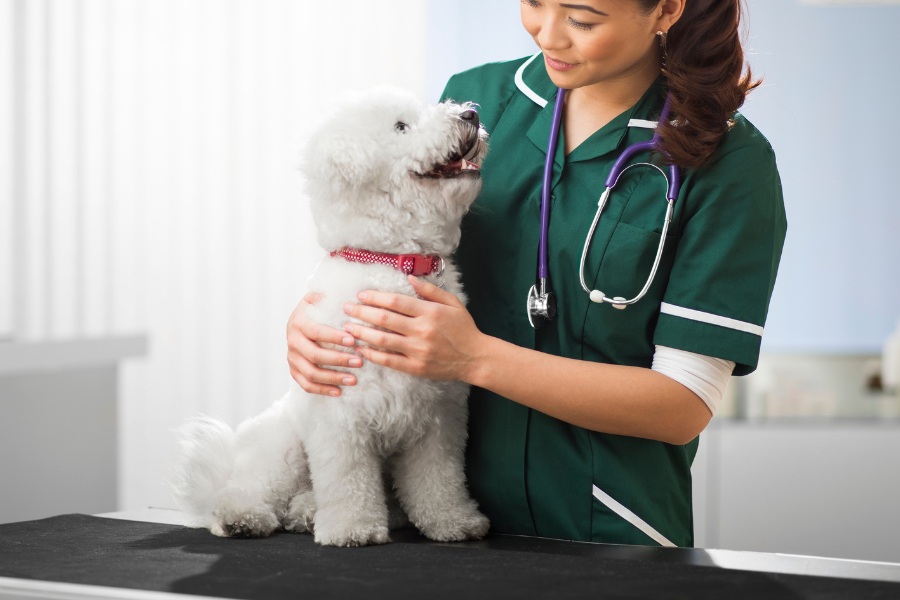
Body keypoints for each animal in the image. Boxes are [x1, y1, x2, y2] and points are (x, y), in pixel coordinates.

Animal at [171, 85, 488, 548]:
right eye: (401, 126)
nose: (470, 114)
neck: (393, 262)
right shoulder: (341, 415)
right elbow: (348, 480)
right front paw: (351, 528)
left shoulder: (439, 418)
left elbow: (440, 479)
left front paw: (453, 521)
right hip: (283, 448)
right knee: (242, 491)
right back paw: (242, 517)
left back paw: (305, 513)